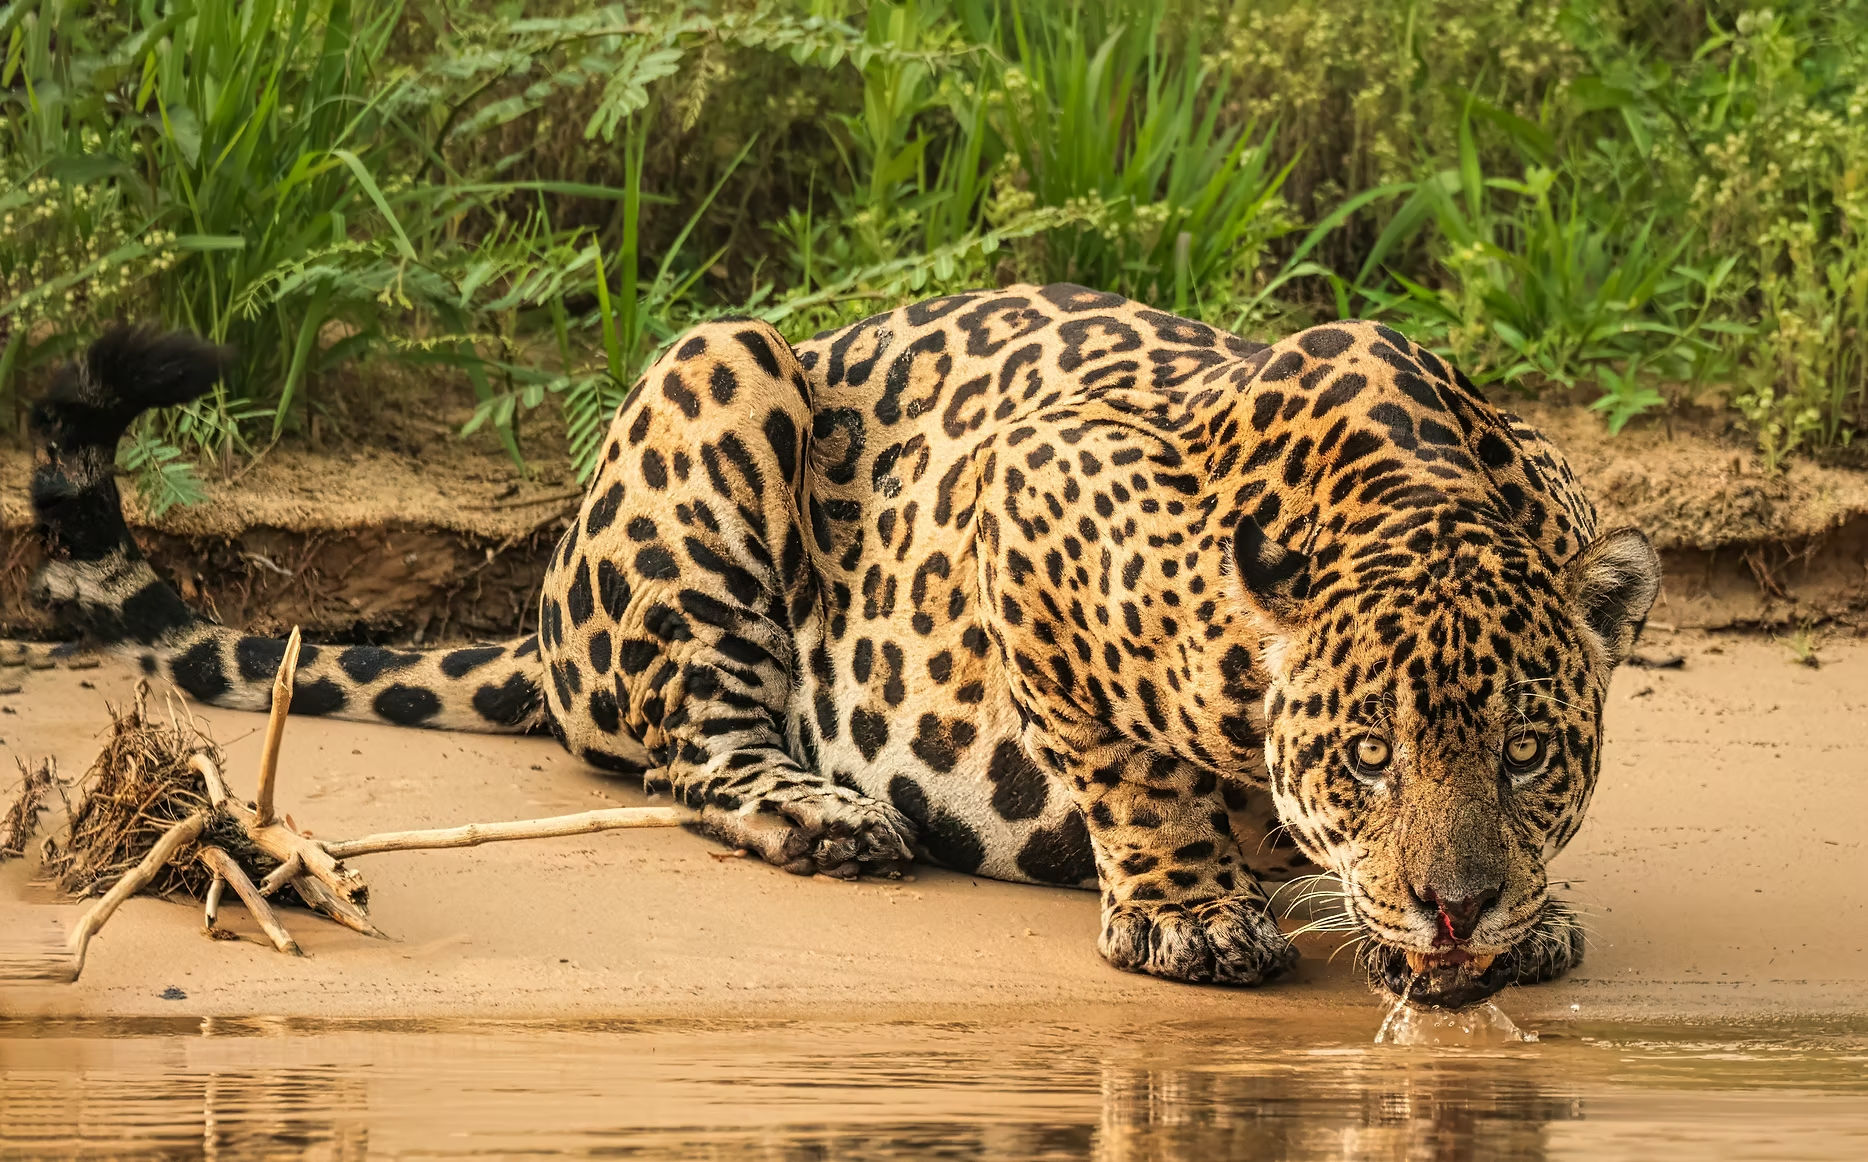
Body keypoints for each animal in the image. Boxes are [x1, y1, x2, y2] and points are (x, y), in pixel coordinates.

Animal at [30, 284, 1660, 1008]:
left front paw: (1527, 914)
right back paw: (825, 814)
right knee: (694, 751)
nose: (1455, 907)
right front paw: (1191, 912)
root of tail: (546, 608)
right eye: (1366, 755)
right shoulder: (1036, 484)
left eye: (1527, 753)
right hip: (720, 373)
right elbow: (1127, 765)